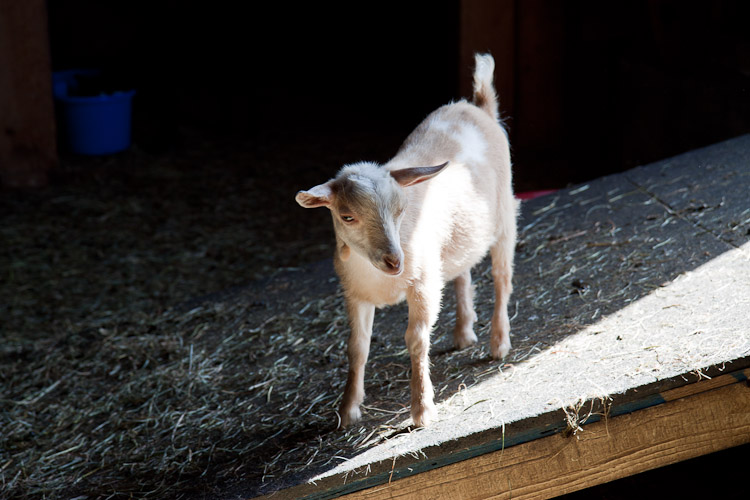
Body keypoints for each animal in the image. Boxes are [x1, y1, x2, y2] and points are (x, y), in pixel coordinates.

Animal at [296, 52, 520, 426]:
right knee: (462, 271)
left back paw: (498, 342)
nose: (395, 261)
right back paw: (463, 332)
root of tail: (479, 104)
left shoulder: (423, 286)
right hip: (457, 238)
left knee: (502, 278)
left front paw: (422, 409)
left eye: (401, 209)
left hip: (504, 218)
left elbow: (416, 339)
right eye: (347, 216)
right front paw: (348, 410)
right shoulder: (355, 294)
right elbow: (357, 347)